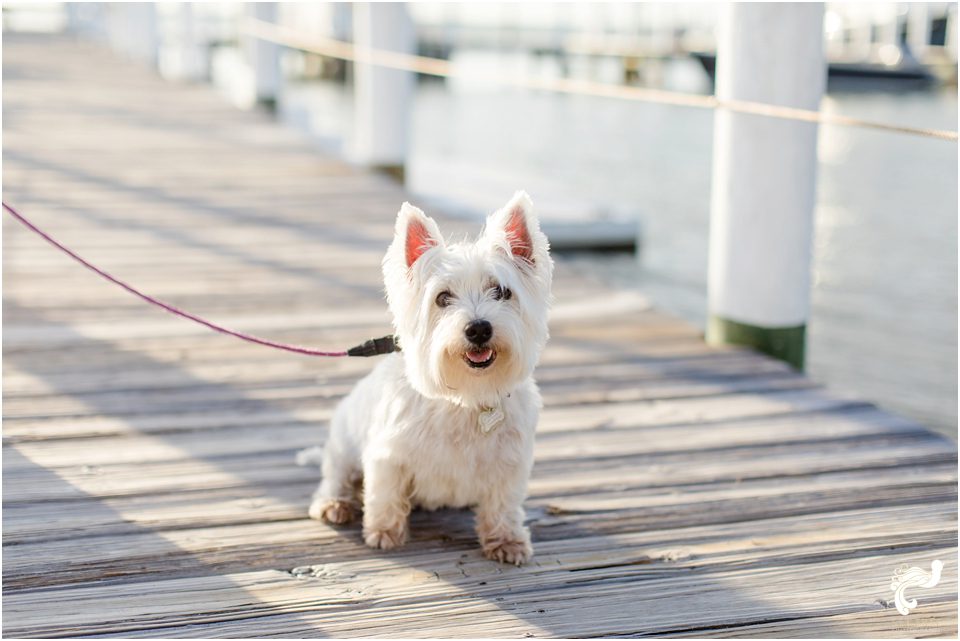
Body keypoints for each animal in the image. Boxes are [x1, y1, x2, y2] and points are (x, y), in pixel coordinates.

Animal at [310, 192, 556, 564]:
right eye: (443, 298)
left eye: (501, 291)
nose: (479, 328)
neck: (465, 395)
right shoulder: (388, 455)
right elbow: (384, 495)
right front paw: (384, 532)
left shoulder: (509, 462)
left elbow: (502, 503)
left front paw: (506, 541)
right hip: (343, 442)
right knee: (336, 476)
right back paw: (334, 504)